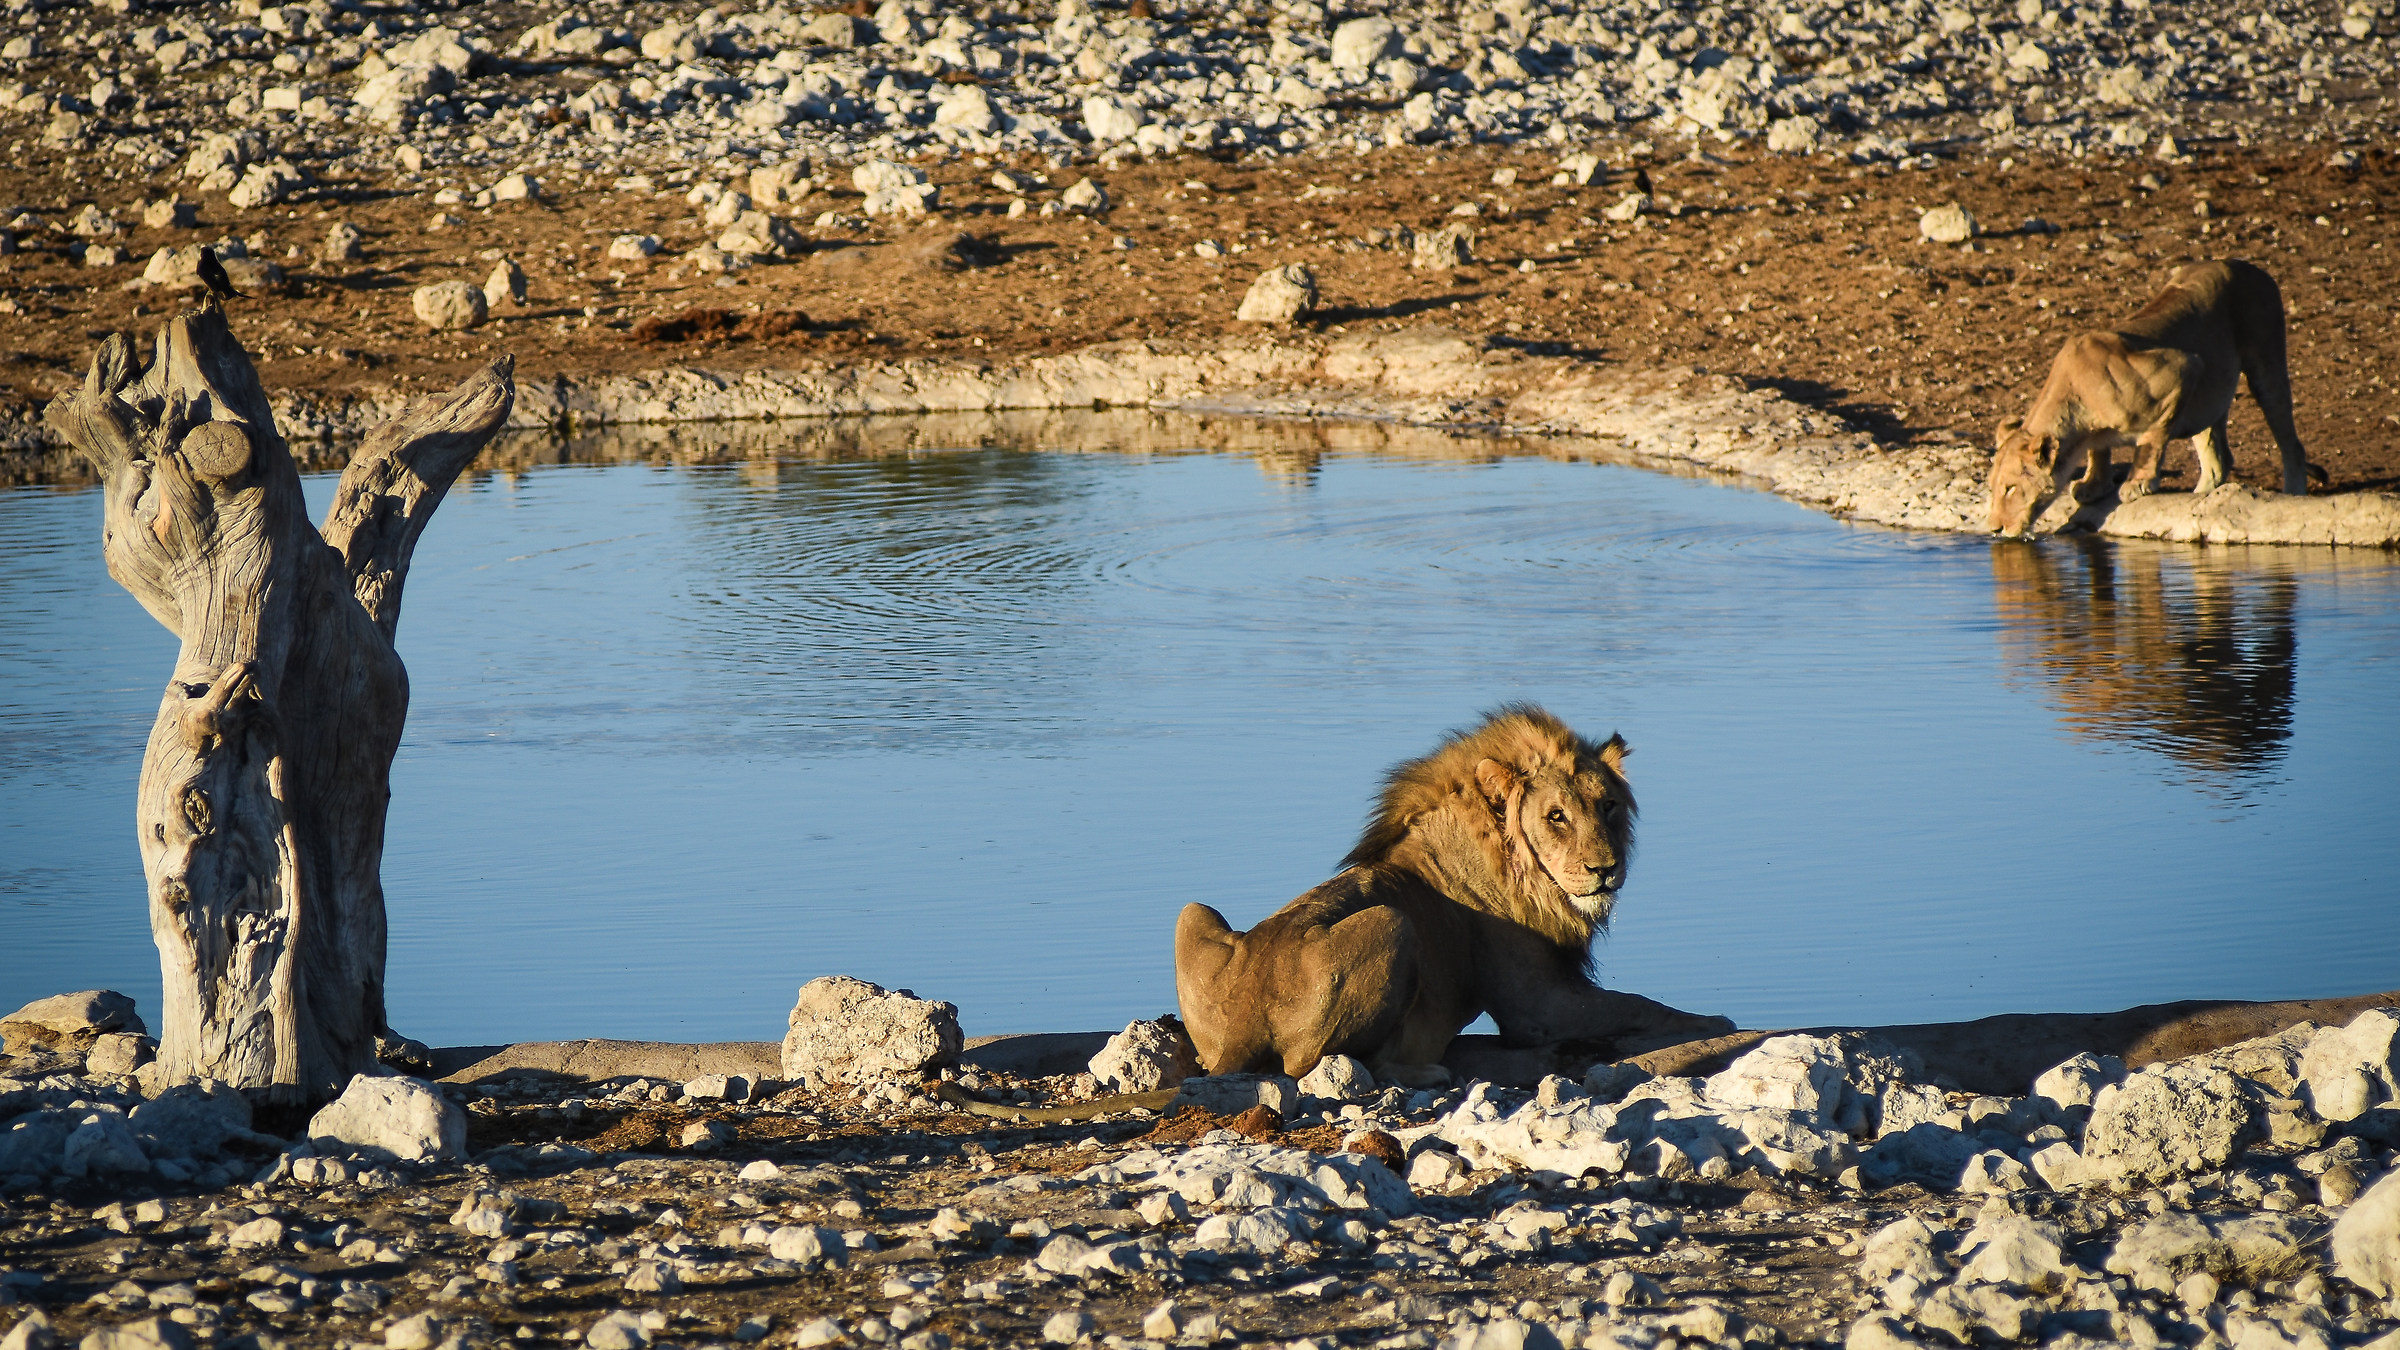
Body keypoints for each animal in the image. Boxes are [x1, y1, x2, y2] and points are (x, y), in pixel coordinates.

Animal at [1173, 705, 1734, 1088]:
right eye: (1556, 816)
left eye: (1609, 806)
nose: (1606, 869)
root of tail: (1245, 1015)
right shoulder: (1539, 1006)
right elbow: (1640, 1004)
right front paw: (1713, 1021)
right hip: (1393, 924)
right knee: (1340, 1066)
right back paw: (1430, 1071)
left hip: (1191, 911)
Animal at [1987, 259, 2319, 538]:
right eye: (1992, 488)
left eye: (2009, 489)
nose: (1994, 529)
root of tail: (2249, 266)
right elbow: (2099, 451)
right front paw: (2093, 485)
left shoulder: (2183, 368)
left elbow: (2152, 440)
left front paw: (2138, 482)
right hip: (2208, 402)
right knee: (2218, 459)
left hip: (2265, 363)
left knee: (2291, 443)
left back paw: (2293, 493)